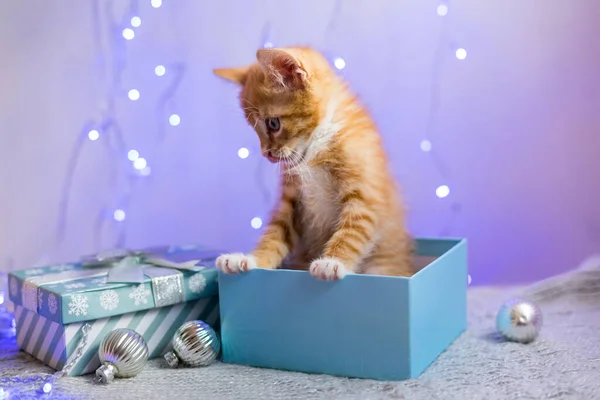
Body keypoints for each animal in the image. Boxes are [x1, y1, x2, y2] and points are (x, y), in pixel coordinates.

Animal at [213, 47, 414, 280]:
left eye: (273, 124)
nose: (266, 154)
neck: (317, 147)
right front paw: (251, 260)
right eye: (254, 128)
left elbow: (353, 230)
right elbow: (275, 233)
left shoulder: (366, 193)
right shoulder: (292, 199)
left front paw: (332, 262)